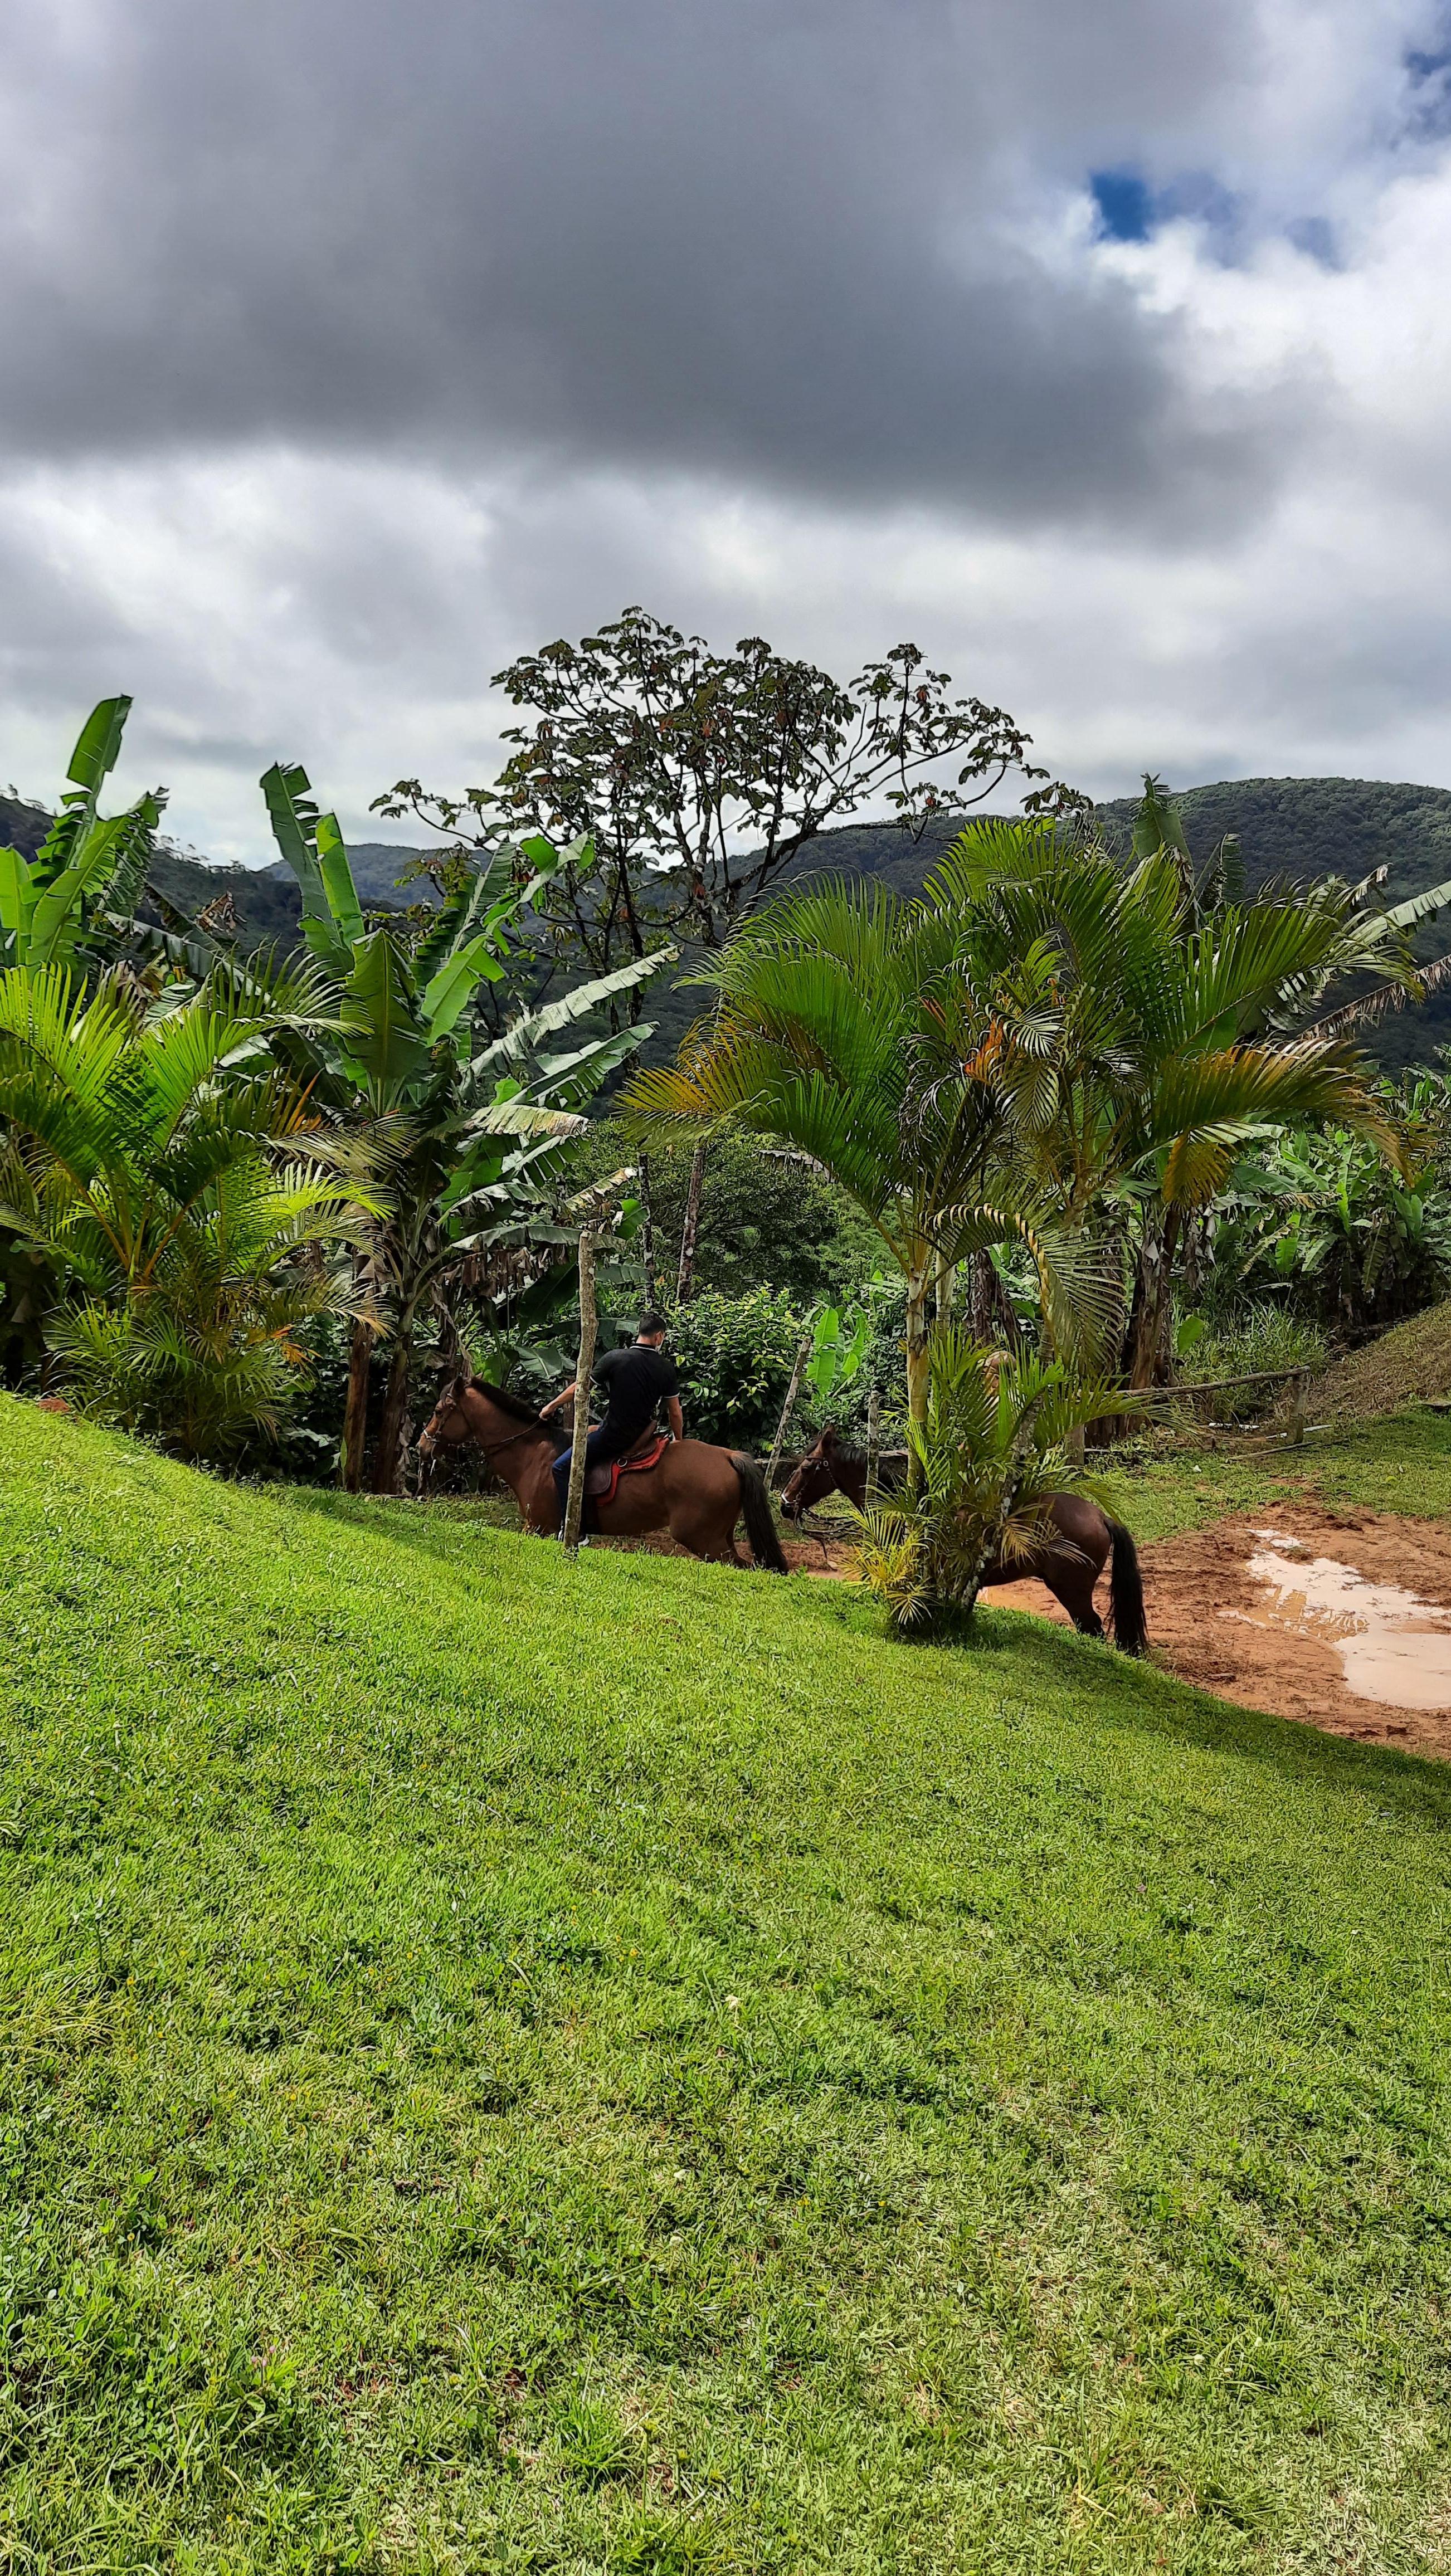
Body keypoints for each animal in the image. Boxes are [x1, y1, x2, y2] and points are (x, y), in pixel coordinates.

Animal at [415, 1380, 788, 1576]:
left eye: (438, 1411)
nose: (421, 1445)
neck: (532, 1453)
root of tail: (727, 1455)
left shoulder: (538, 1527)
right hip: (719, 1538)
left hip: (706, 1542)